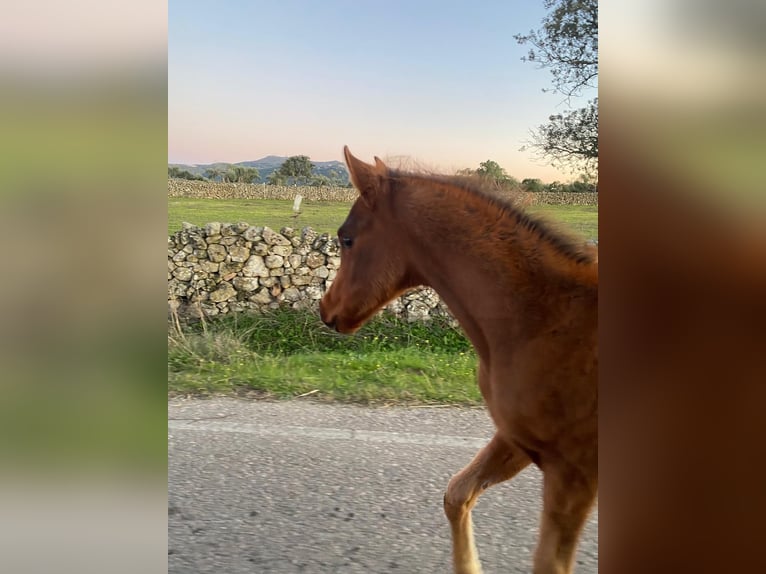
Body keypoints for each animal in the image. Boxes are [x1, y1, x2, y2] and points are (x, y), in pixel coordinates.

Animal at [320, 148, 596, 574]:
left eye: (347, 238)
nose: (325, 308)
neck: (545, 316)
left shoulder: (574, 473)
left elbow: (548, 563)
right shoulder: (516, 439)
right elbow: (457, 494)